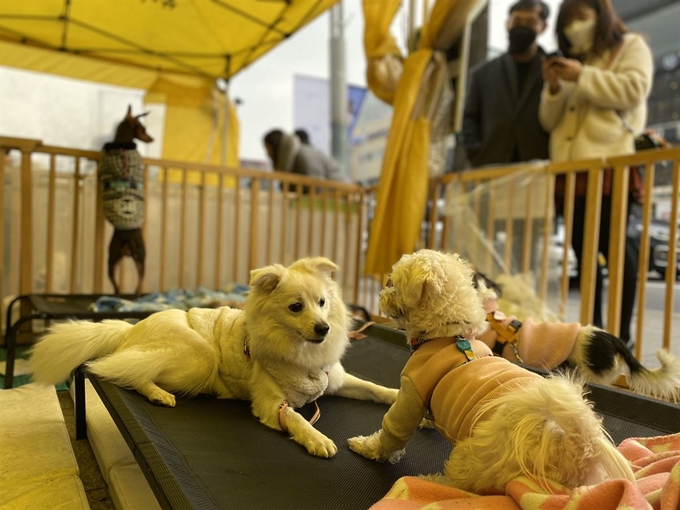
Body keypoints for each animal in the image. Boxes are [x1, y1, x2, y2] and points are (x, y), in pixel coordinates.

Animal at [30, 258, 398, 458]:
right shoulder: (271, 404)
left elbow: (373, 388)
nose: (323, 328)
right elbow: (295, 419)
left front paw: (400, 399)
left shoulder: (335, 380)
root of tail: (131, 329)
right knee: (131, 373)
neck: (301, 353)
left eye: (322, 303)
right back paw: (159, 394)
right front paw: (317, 438)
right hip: (200, 359)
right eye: (296, 307)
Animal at [99, 105, 153, 292]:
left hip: (120, 257)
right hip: (125, 258)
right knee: (129, 286)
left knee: (124, 286)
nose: (152, 139)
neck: (123, 145)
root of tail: (128, 243)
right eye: (143, 129)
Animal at [348, 251, 636, 494]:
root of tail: (568, 450)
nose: (382, 293)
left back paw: (427, 482)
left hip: (473, 458)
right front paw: (428, 421)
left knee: (460, 485)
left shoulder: (412, 389)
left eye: (393, 283)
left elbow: (393, 432)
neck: (447, 334)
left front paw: (366, 446)